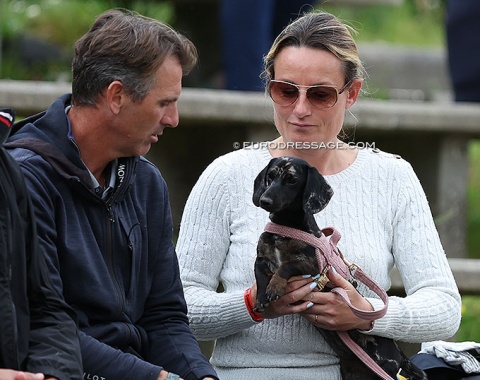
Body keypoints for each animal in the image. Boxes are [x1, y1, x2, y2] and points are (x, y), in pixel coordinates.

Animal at [253, 156, 426, 380]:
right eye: (270, 176)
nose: (265, 200)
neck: (285, 230)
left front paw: (275, 286)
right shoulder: (261, 259)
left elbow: (286, 266)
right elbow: (259, 276)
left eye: (291, 180)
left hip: (384, 368)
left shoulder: (313, 264)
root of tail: (400, 354)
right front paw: (261, 297)